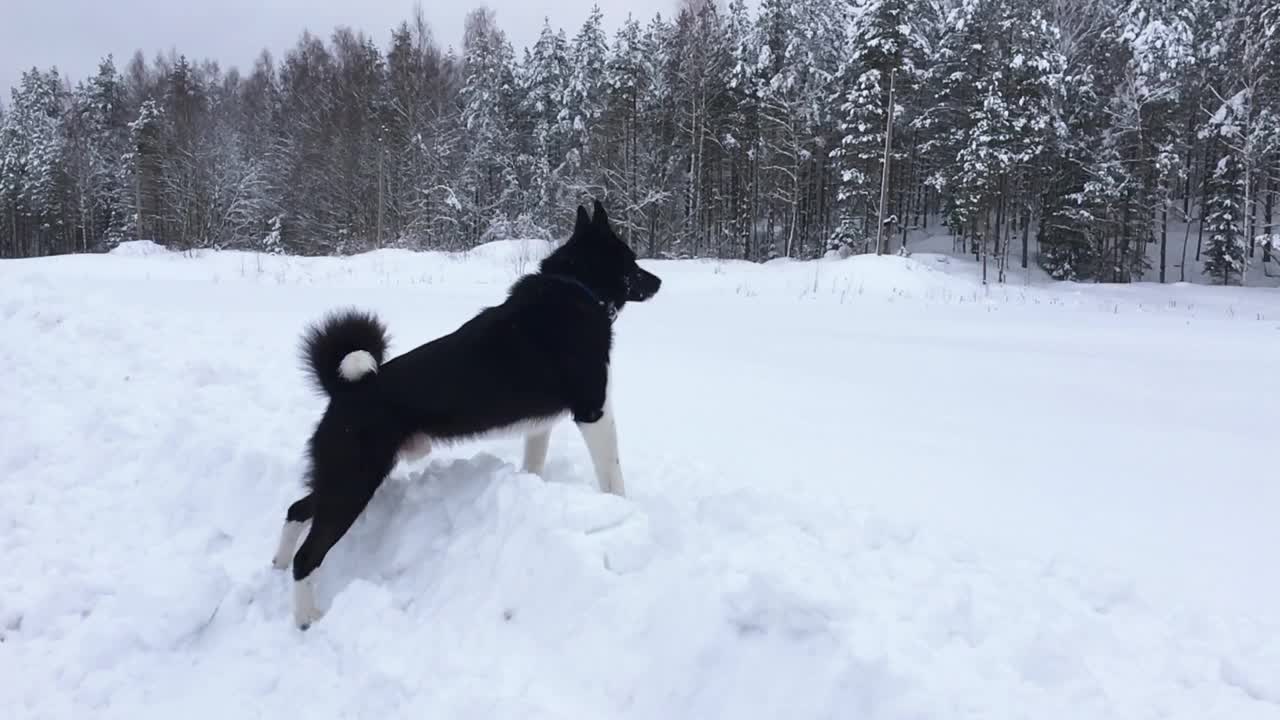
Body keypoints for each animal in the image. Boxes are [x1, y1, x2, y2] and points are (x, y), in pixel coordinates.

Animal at [273, 198, 665, 625]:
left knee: (296, 509)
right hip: (353, 483)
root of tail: (345, 389)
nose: (659, 282)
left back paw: (277, 563)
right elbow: (613, 475)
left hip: (341, 478)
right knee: (308, 555)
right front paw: (624, 511)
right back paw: (305, 616)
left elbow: (535, 465)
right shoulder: (594, 411)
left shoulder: (540, 427)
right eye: (630, 259)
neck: (574, 286)